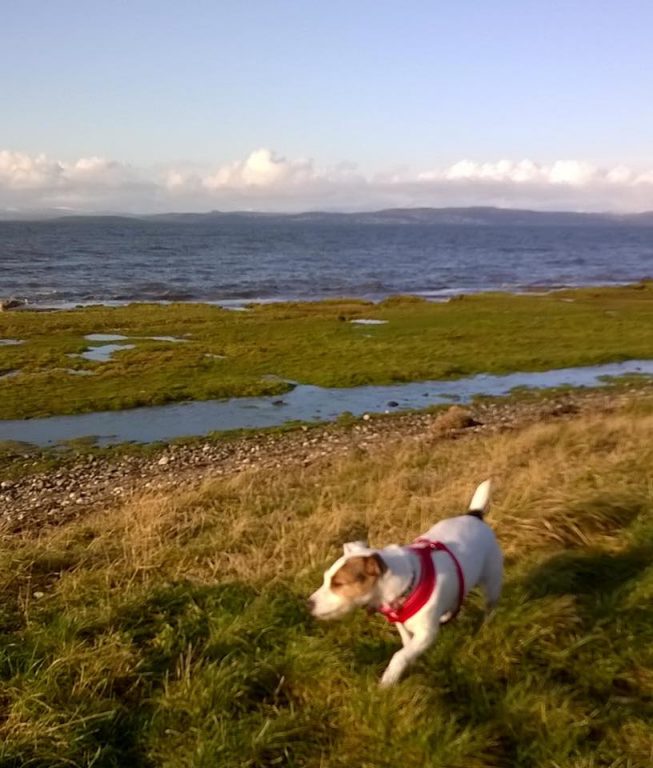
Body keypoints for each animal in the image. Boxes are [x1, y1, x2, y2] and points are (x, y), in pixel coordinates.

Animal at [308, 480, 502, 684]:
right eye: (326, 579)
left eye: (338, 584)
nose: (308, 604)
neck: (408, 584)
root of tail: (474, 515)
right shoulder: (402, 624)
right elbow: (406, 645)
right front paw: (410, 662)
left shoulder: (426, 634)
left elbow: (400, 655)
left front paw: (389, 679)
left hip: (492, 582)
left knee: (490, 607)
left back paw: (486, 625)